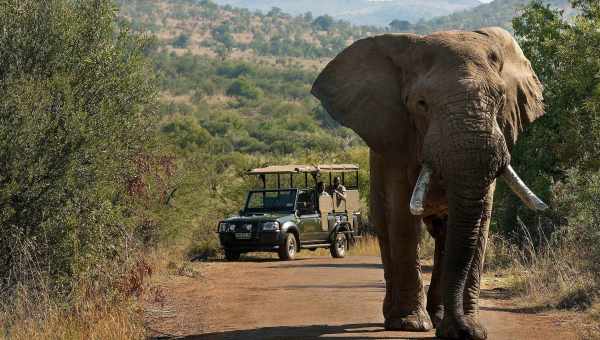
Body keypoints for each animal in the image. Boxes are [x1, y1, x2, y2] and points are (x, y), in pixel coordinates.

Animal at [312, 27, 548, 340]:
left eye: (500, 99)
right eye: (421, 104)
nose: (461, 331)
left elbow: (481, 221)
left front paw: (471, 329)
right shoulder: (397, 141)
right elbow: (402, 218)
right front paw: (411, 324)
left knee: (445, 235)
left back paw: (438, 316)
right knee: (387, 228)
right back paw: (398, 317)